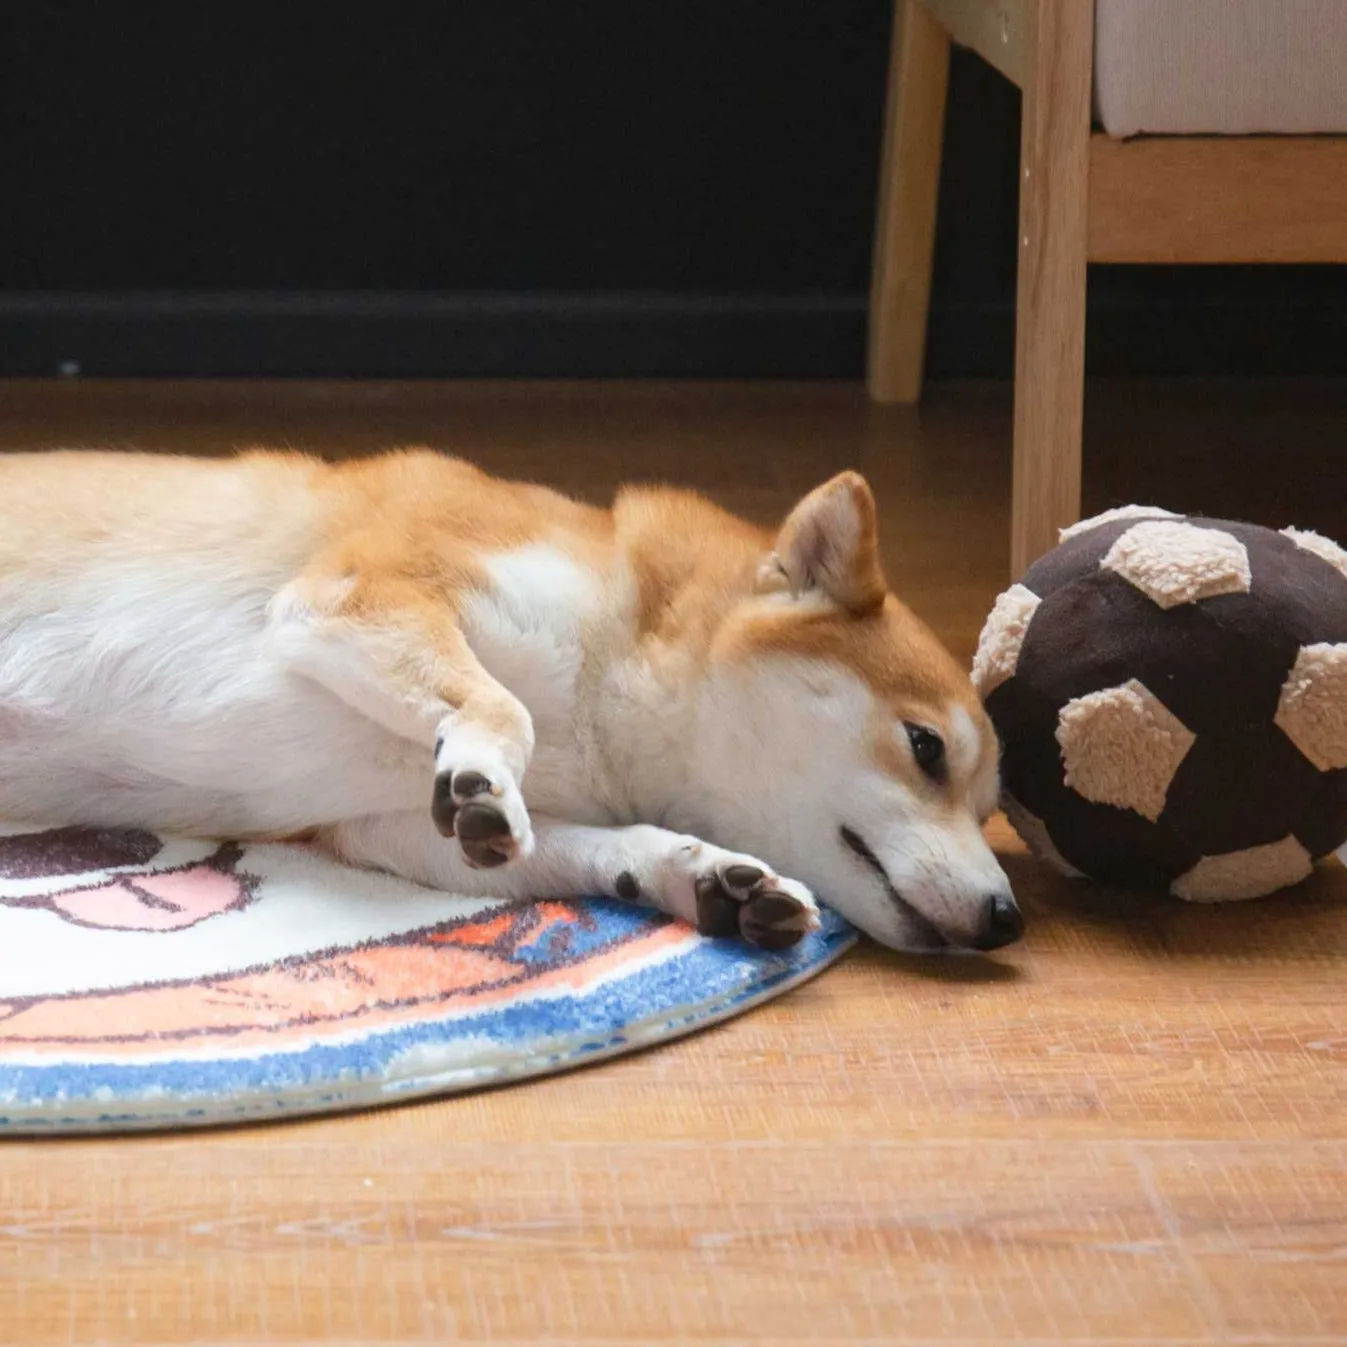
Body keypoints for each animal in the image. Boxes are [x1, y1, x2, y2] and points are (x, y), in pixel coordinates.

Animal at [0, 455, 1012, 959]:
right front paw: (485, 760)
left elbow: (595, 845)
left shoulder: (385, 826)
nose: (1009, 917)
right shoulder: (354, 596)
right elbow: (506, 710)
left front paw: (711, 878)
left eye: (988, 809)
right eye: (925, 747)